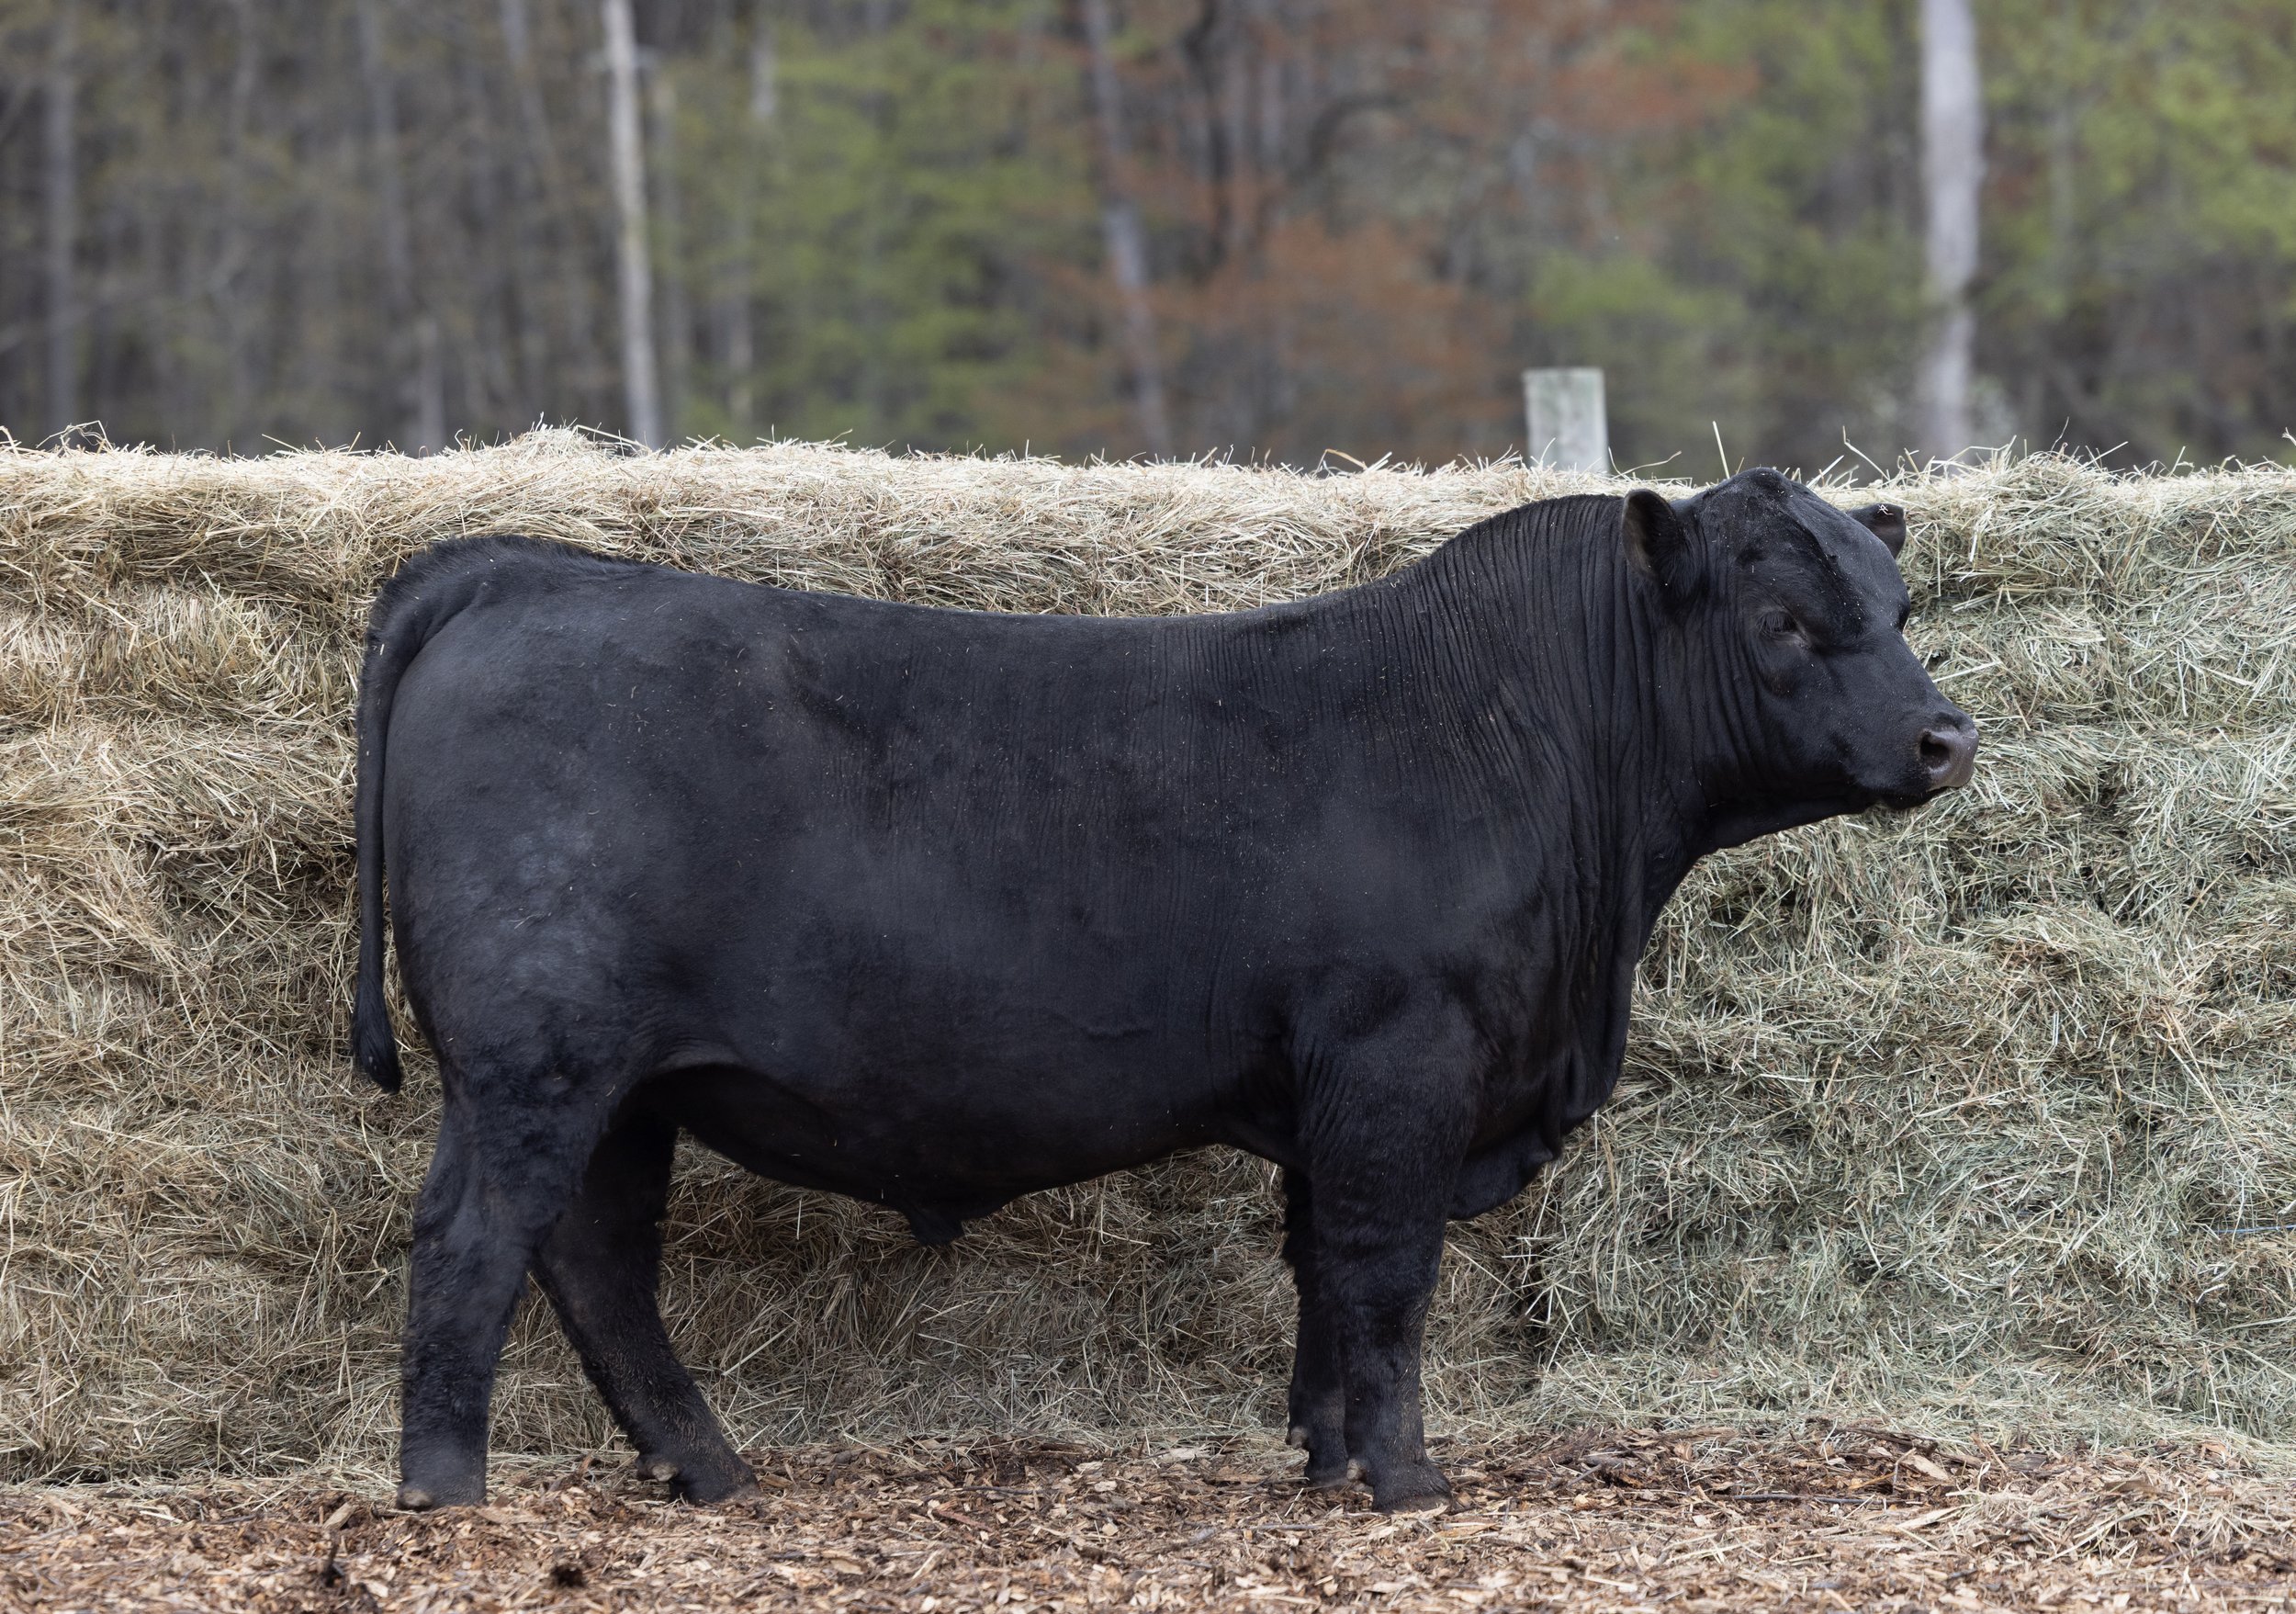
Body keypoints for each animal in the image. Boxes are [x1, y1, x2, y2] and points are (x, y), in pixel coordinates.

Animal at [350, 466, 1975, 1515]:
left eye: (1897, 605)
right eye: (1782, 621)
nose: (1947, 737)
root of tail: (515, 566)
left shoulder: (1331, 1089)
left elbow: (1322, 1270)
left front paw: (1325, 1457)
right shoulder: (1402, 1061)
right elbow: (1386, 1269)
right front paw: (1407, 1480)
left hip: (624, 1085)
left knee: (598, 1261)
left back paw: (708, 1470)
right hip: (535, 1059)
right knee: (479, 1238)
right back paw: (446, 1491)